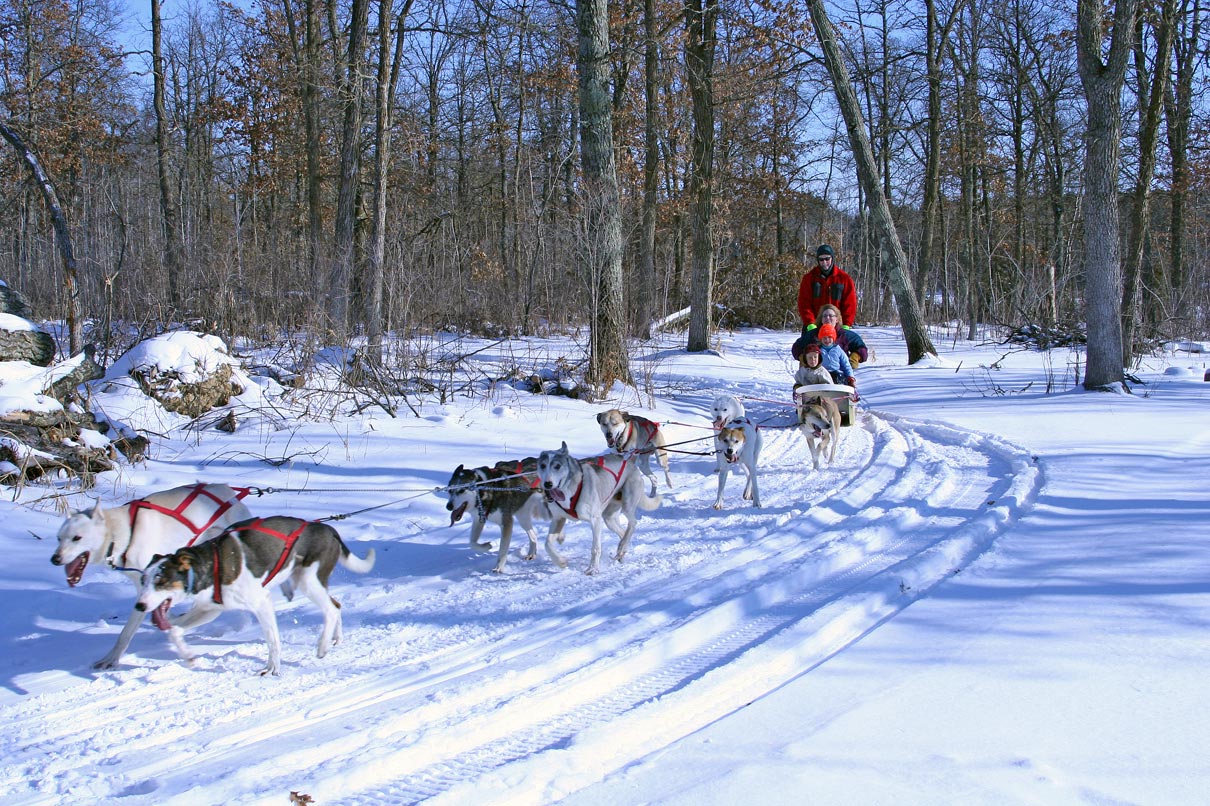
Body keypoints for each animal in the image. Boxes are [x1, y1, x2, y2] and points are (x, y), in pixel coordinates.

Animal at [50, 482, 255, 669]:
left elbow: (125, 633)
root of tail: (227, 489)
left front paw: (111, 659)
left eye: (77, 538)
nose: (54, 559)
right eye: (59, 538)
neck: (122, 534)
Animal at [134, 516, 376, 676]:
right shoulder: (209, 610)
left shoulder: (262, 603)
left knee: (331, 609)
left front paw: (273, 668)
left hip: (308, 581)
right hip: (310, 582)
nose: (139, 606)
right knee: (336, 605)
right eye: (144, 580)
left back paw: (322, 645)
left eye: (160, 580)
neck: (213, 564)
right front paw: (190, 658)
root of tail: (328, 528)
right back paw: (336, 638)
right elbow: (174, 631)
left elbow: (273, 640)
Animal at [536, 442, 661, 575]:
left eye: (557, 466)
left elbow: (595, 548)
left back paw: (622, 546)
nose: (547, 484)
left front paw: (593, 569)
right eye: (543, 465)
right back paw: (621, 551)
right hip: (609, 518)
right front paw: (560, 561)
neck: (569, 489)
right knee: (623, 532)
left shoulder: (595, 520)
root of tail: (629, 463)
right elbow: (547, 544)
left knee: (633, 523)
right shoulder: (558, 519)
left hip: (627, 505)